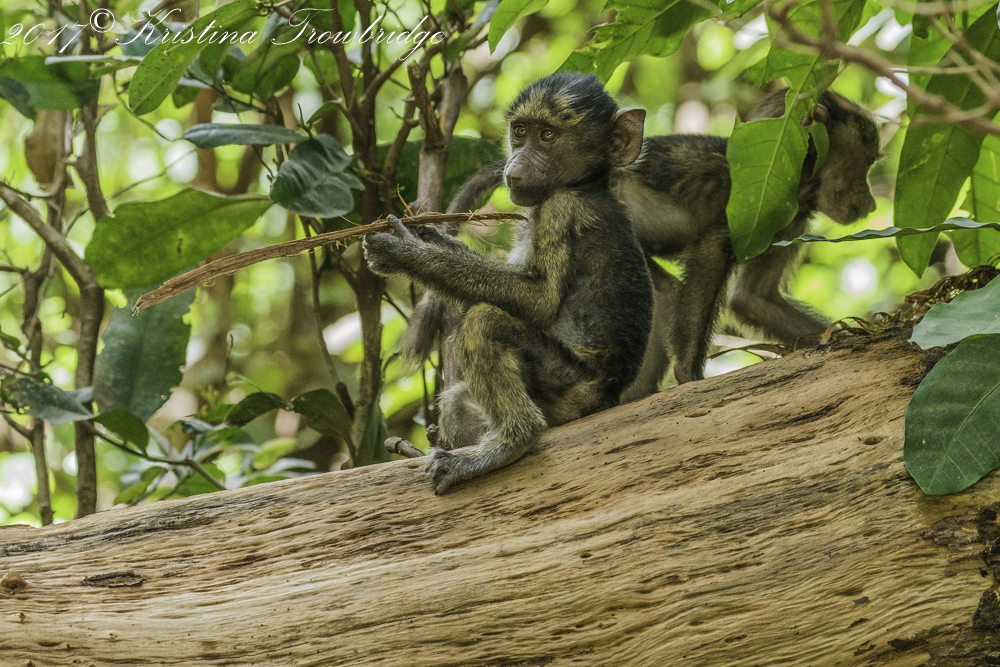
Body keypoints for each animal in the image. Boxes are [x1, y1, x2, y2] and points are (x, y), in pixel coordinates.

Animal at [363, 73, 653, 494]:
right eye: (520, 132)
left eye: (547, 135)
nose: (514, 166)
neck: (584, 185)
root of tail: (607, 396)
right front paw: (427, 235)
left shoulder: (562, 210)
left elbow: (539, 300)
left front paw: (403, 252)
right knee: (459, 403)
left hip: (568, 382)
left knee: (483, 322)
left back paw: (512, 442)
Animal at [407, 88, 880, 395]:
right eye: (866, 163)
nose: (871, 201)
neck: (797, 174)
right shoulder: (752, 197)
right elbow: (713, 252)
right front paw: (690, 375)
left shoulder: (793, 216)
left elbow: (754, 299)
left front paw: (852, 335)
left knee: (662, 296)